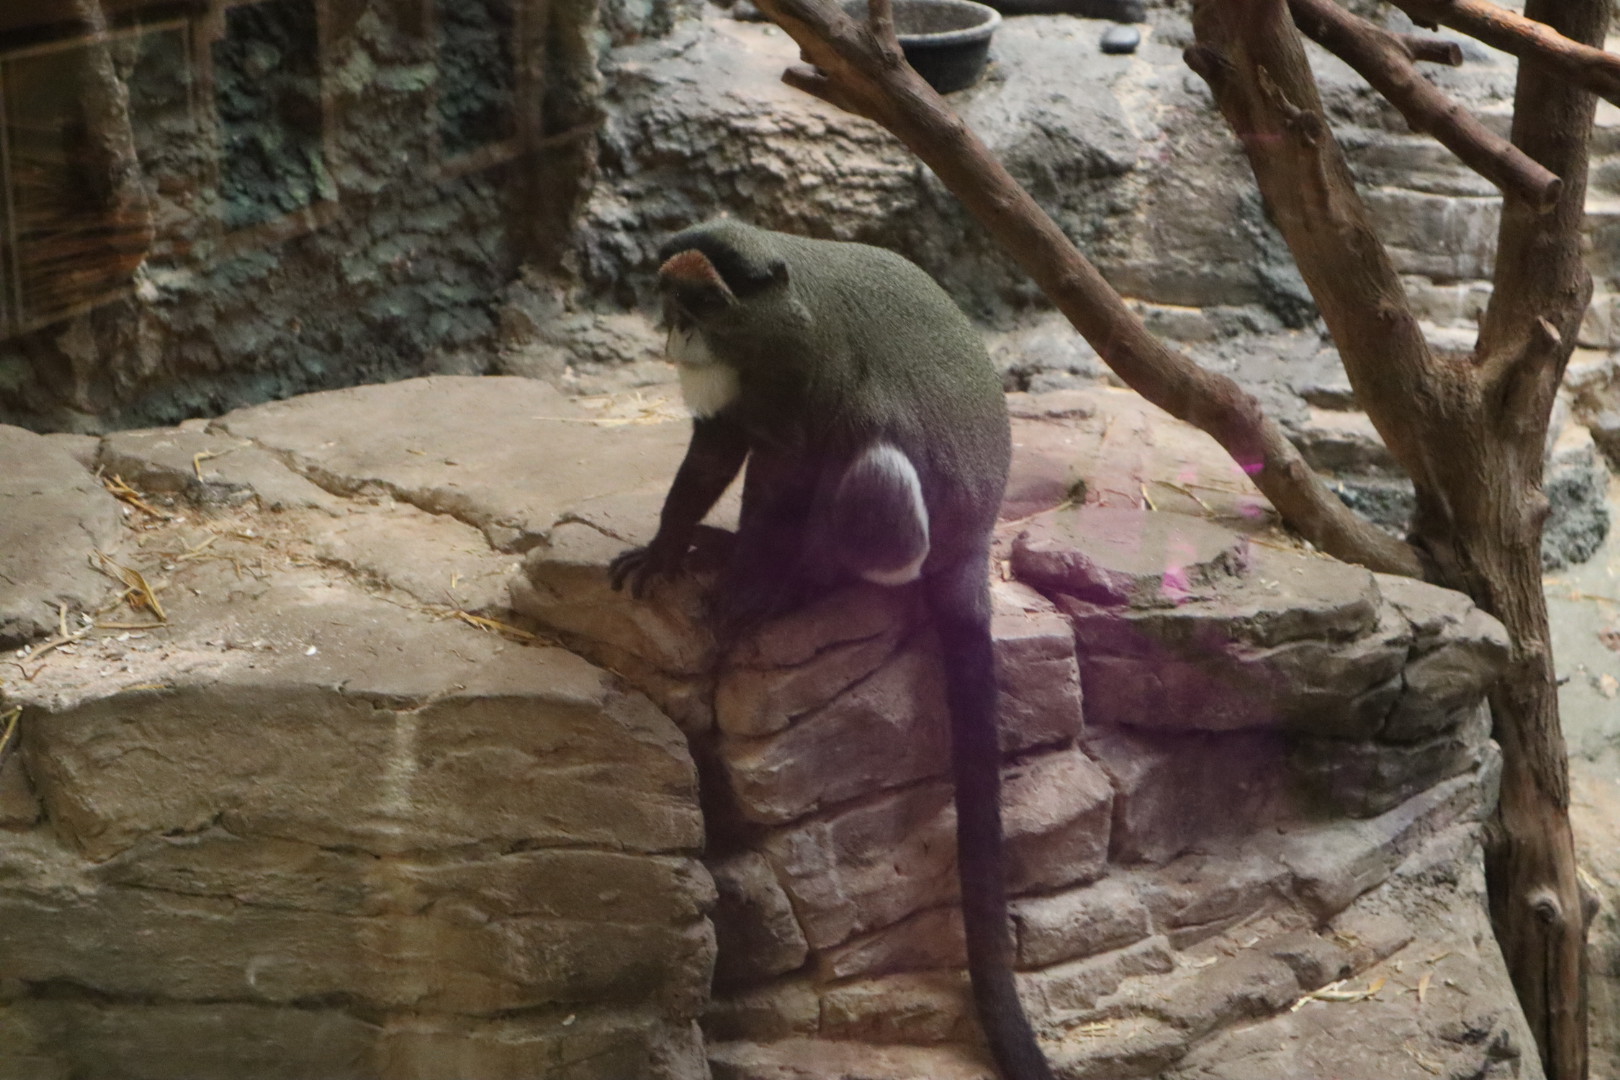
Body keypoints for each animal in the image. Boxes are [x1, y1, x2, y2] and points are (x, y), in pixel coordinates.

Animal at [609, 219, 1055, 1080]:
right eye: (671, 302)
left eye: (703, 305)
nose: (677, 336)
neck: (764, 320)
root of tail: (973, 545)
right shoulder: (741, 402)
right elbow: (715, 451)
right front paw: (666, 546)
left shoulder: (802, 381)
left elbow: (789, 469)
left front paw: (751, 589)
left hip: (904, 533)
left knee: (871, 468)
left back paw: (807, 585)